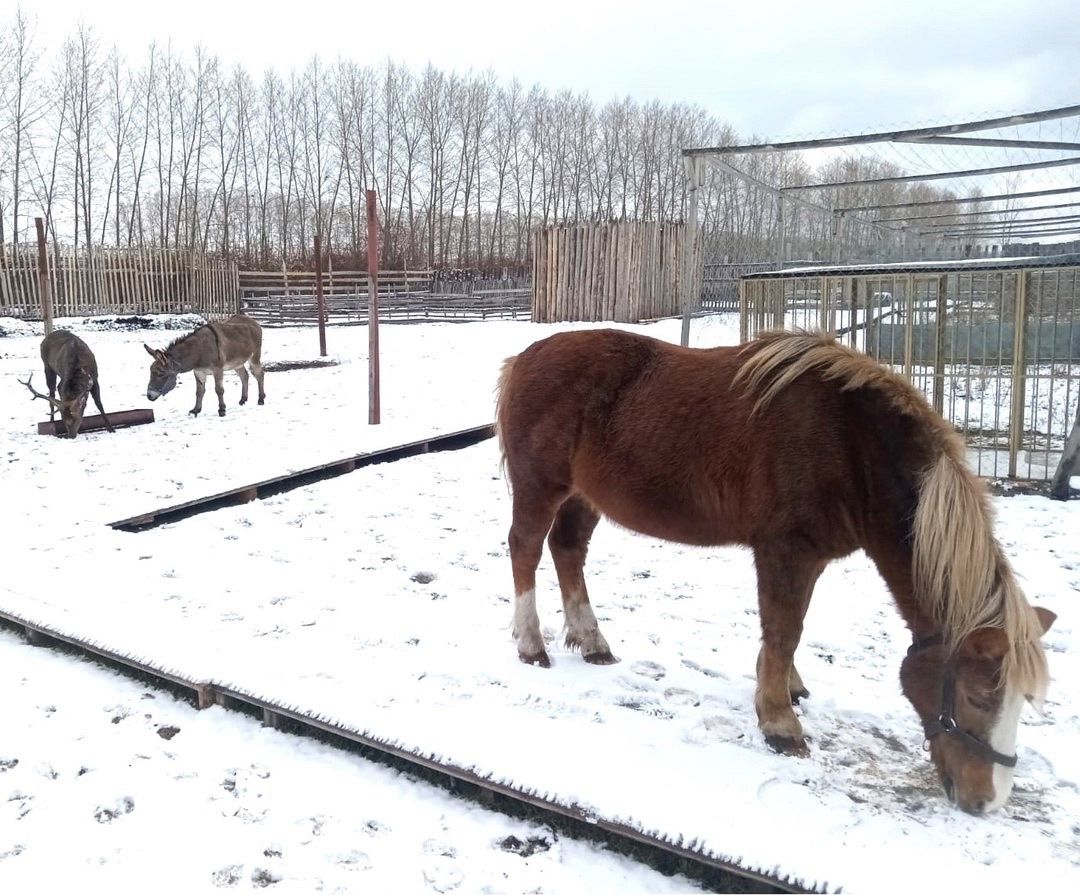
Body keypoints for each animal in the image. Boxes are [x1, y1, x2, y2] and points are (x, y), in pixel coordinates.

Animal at [496, 330, 1054, 816]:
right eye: (978, 696)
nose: (988, 800)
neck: (854, 443)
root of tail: (523, 358)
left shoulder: (807, 557)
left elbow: (786, 631)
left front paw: (787, 689)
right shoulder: (787, 550)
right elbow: (785, 630)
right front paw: (780, 723)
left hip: (584, 495)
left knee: (569, 550)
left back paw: (592, 641)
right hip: (541, 486)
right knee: (526, 549)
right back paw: (531, 643)